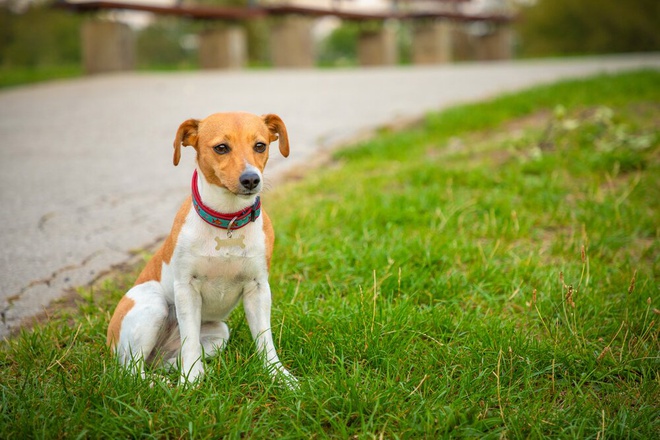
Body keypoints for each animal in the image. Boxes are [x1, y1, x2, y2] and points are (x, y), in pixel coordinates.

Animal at [107, 111, 296, 384]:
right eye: (221, 147)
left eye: (260, 145)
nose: (251, 179)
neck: (227, 219)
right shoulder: (187, 289)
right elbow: (190, 341)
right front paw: (190, 382)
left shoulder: (258, 289)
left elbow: (265, 339)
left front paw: (279, 376)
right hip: (154, 304)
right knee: (132, 371)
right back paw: (164, 384)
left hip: (219, 332)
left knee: (166, 361)